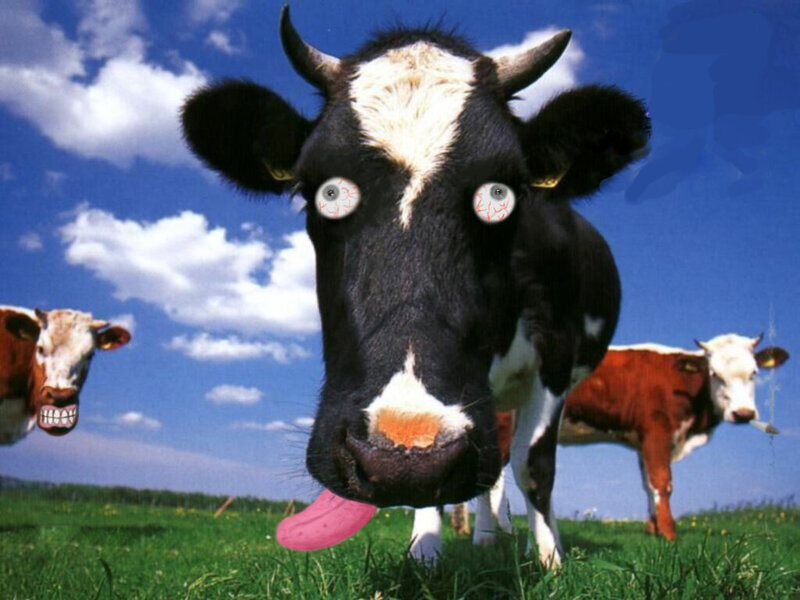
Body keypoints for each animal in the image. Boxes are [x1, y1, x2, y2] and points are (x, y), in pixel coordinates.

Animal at [181, 6, 650, 567]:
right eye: (323, 191)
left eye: (502, 192)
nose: (402, 455)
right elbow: (451, 489)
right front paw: (425, 553)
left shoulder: (556, 353)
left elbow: (534, 465)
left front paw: (550, 560)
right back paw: (485, 537)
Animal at [454, 333, 789, 545]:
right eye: (715, 373)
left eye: (754, 372)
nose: (743, 413)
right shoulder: (656, 431)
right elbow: (662, 482)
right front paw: (670, 534)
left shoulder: (642, 441)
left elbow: (647, 484)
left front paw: (653, 530)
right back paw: (485, 537)